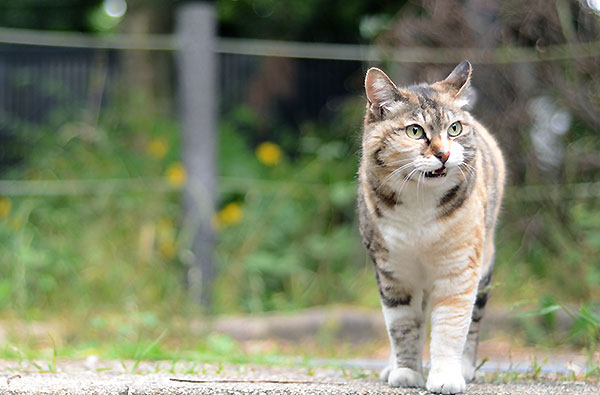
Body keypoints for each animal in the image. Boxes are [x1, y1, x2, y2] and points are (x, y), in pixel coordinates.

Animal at [358, 60, 504, 394]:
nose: (444, 154)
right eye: (415, 131)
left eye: (455, 129)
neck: (419, 203)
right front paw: (406, 372)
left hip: (484, 262)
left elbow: (451, 326)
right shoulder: (392, 272)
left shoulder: (459, 268)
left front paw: (446, 377)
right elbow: (401, 326)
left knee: (473, 321)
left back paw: (465, 367)